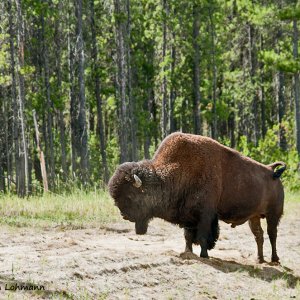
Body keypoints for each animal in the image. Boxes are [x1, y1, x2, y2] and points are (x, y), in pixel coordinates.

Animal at [108, 133, 286, 262]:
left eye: (130, 195)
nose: (124, 215)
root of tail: (272, 172)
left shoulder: (205, 216)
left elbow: (202, 235)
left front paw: (204, 255)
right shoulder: (188, 217)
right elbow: (188, 236)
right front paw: (187, 251)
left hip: (273, 214)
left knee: (272, 234)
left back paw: (275, 259)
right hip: (254, 217)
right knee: (259, 235)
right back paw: (260, 259)